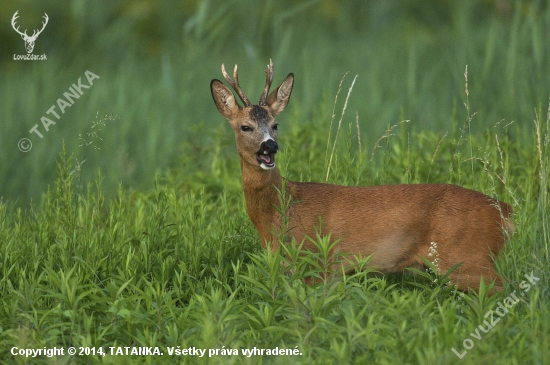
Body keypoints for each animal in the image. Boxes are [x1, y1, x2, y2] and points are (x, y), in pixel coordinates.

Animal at [212, 60, 516, 292]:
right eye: (245, 127)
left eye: (276, 125)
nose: (270, 147)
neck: (279, 213)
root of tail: (505, 211)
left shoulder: (318, 263)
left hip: (468, 257)